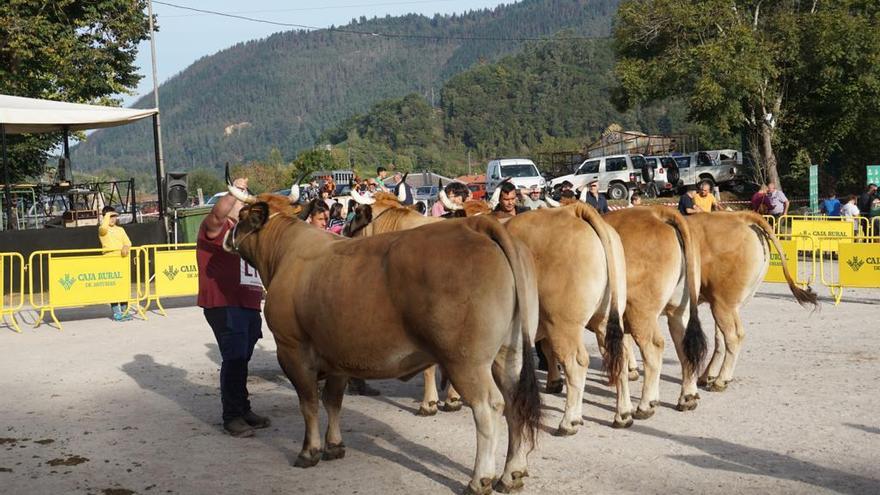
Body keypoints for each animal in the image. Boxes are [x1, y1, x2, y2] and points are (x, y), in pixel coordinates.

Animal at [222, 188, 544, 494]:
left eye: (241, 216)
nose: (226, 236)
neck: (286, 252)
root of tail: (478, 226)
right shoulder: (337, 354)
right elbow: (333, 401)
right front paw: (334, 445)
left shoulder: (292, 349)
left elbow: (309, 402)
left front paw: (309, 451)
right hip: (510, 353)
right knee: (515, 403)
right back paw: (512, 474)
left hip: (467, 362)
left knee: (489, 407)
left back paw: (480, 480)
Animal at [688, 210, 820, 392]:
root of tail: (741, 217)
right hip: (725, 304)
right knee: (723, 338)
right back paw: (709, 375)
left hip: (722, 303)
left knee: (732, 336)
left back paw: (720, 380)